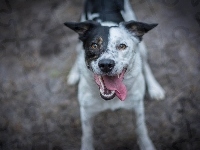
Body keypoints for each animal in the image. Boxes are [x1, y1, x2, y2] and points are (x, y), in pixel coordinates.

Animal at [65, 0, 165, 150]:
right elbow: (87, 136)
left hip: (141, 45)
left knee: (145, 63)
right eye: (94, 45)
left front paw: (147, 145)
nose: (106, 64)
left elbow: (141, 129)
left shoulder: (137, 106)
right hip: (78, 40)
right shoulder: (86, 111)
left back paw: (155, 88)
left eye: (122, 46)